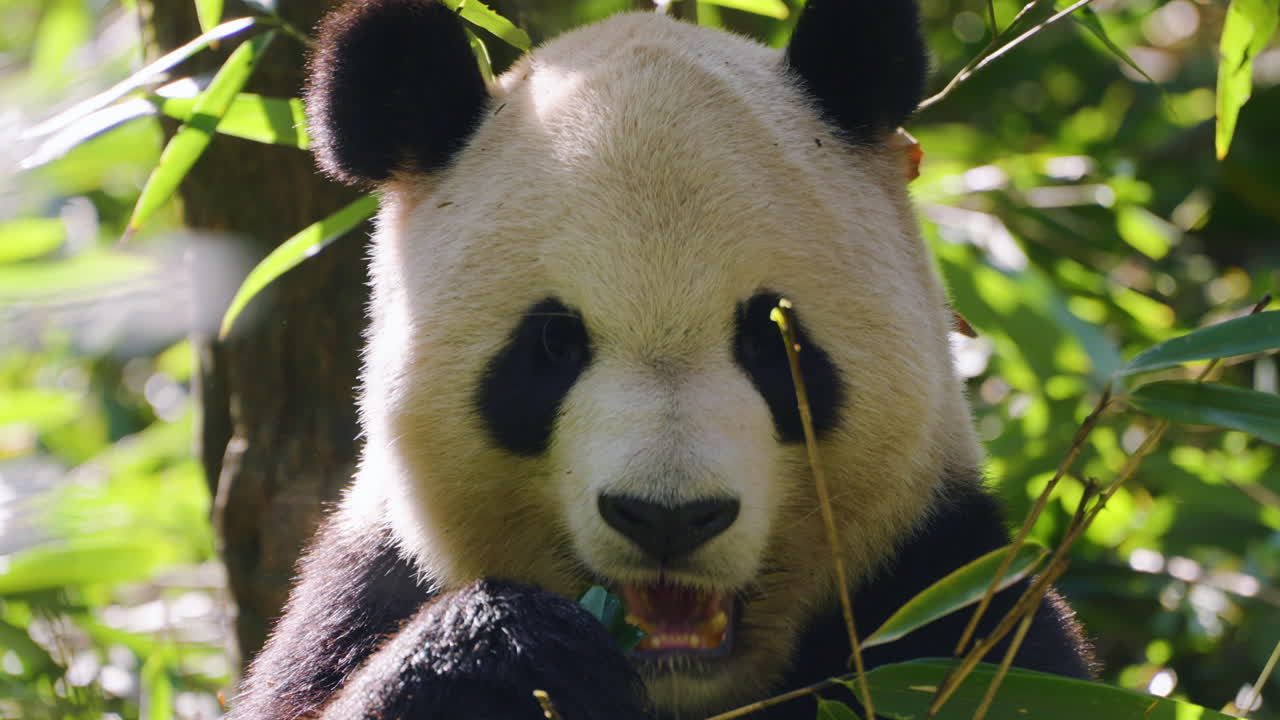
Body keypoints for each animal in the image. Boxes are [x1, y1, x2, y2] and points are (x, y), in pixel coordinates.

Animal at [229, 1, 1093, 718]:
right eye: (553, 344)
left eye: (770, 339)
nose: (668, 517)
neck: (676, 682)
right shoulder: (368, 585)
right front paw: (502, 653)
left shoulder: (951, 592)